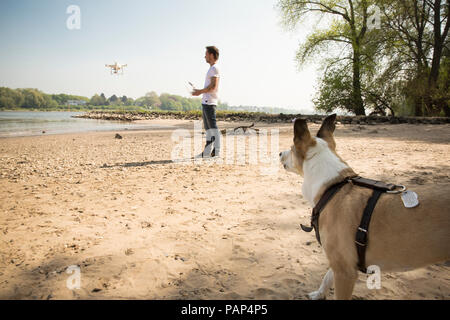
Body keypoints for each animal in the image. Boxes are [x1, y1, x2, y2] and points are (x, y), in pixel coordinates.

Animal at [280, 114, 448, 298]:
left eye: (291, 148)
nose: (279, 153)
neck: (333, 187)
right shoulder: (340, 261)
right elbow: (327, 277)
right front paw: (319, 294)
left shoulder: (345, 272)